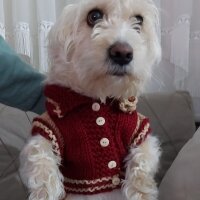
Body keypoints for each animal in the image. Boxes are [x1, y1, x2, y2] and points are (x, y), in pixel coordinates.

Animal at [19, 0, 161, 200]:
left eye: (139, 20)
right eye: (94, 16)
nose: (122, 53)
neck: (96, 99)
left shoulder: (138, 128)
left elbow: (143, 158)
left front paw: (140, 191)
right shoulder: (48, 126)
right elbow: (39, 153)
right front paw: (45, 192)